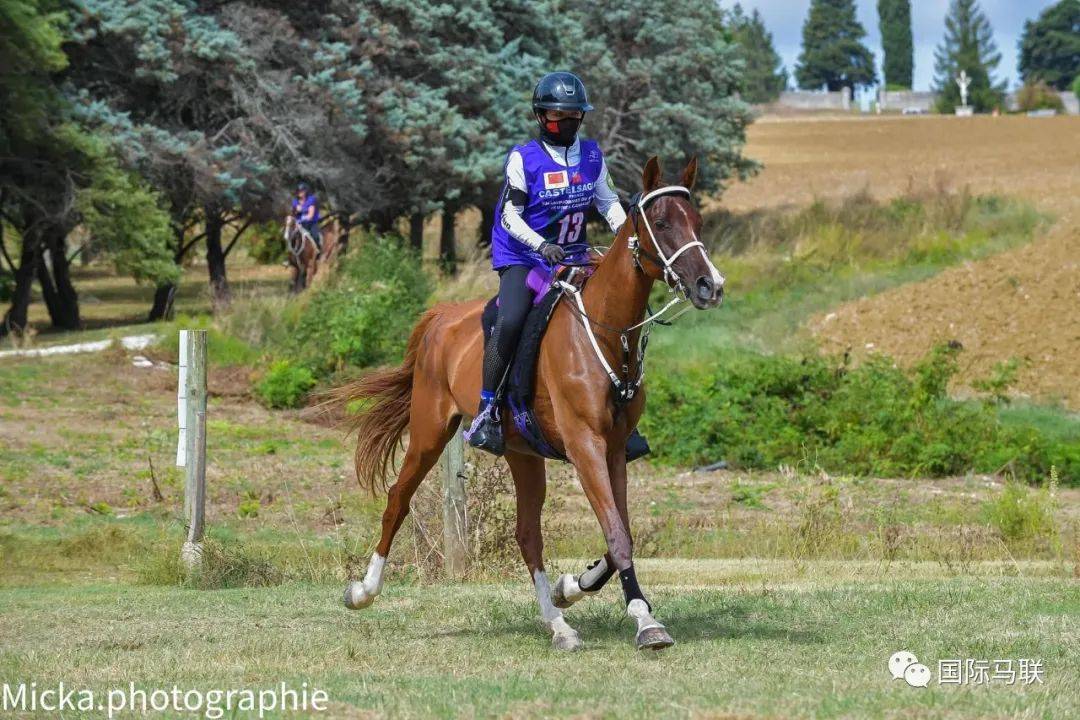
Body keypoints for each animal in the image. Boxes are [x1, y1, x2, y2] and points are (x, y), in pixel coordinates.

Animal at [336, 157, 725, 651]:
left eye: (698, 221)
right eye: (661, 223)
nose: (710, 285)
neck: (607, 331)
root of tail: (442, 315)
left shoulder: (616, 449)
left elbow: (619, 532)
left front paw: (573, 587)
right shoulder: (585, 445)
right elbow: (618, 535)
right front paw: (645, 622)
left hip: (522, 452)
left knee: (527, 535)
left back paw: (558, 623)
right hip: (429, 431)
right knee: (397, 500)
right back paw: (363, 591)